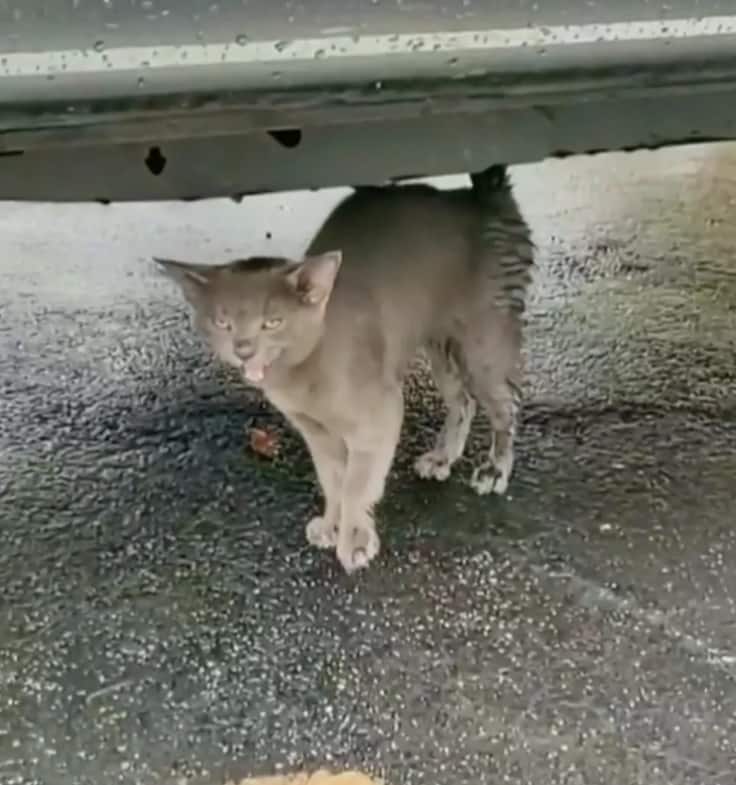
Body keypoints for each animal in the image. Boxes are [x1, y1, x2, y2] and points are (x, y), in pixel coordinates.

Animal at [157, 167, 536, 568]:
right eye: (222, 323)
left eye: (272, 322)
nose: (243, 349)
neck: (303, 376)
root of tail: (481, 196)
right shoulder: (314, 431)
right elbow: (333, 479)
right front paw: (331, 525)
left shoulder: (381, 413)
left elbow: (357, 482)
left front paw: (355, 540)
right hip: (439, 341)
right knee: (463, 400)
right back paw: (442, 456)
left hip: (484, 337)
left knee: (505, 403)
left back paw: (495, 468)